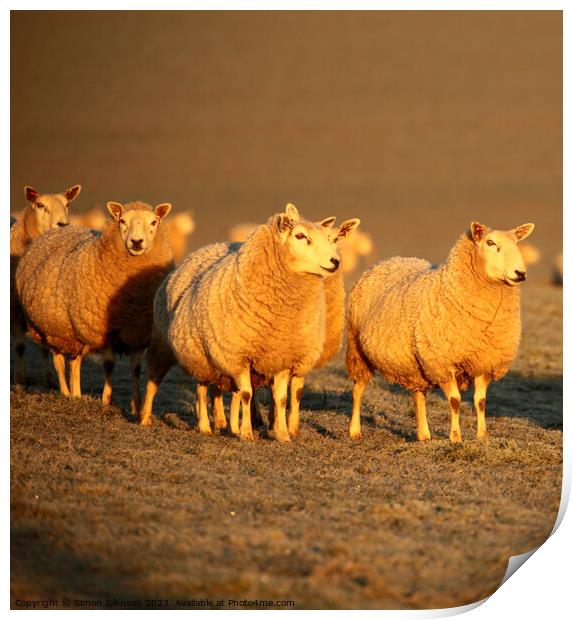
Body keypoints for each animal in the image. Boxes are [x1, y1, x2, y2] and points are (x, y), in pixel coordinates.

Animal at [10, 184, 81, 386]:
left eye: (67, 204)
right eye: (40, 205)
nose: (63, 224)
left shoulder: (40, 312)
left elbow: (45, 348)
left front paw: (50, 380)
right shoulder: (14, 307)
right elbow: (19, 346)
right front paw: (19, 381)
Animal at [16, 200, 173, 412]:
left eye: (154, 222)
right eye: (122, 221)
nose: (136, 242)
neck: (133, 300)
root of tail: (52, 232)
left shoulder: (138, 333)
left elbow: (136, 369)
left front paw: (136, 405)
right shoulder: (101, 331)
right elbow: (108, 364)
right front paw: (106, 401)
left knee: (73, 362)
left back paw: (74, 394)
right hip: (57, 330)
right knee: (62, 362)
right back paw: (69, 394)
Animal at [138, 203, 340, 440]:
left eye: (329, 237)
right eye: (300, 236)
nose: (336, 261)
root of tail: (205, 248)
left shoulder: (281, 356)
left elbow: (280, 399)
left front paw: (281, 434)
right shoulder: (238, 355)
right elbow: (246, 394)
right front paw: (246, 433)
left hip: (208, 357)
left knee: (210, 389)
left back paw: (220, 423)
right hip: (168, 347)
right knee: (167, 383)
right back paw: (153, 419)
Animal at [346, 220, 536, 444]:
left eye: (517, 243)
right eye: (490, 243)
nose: (520, 273)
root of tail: (385, 261)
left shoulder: (483, 361)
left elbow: (480, 401)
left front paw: (482, 436)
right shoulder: (442, 363)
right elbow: (455, 401)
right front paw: (455, 437)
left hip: (415, 364)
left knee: (418, 395)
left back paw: (424, 435)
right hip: (358, 349)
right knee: (358, 390)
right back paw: (354, 431)